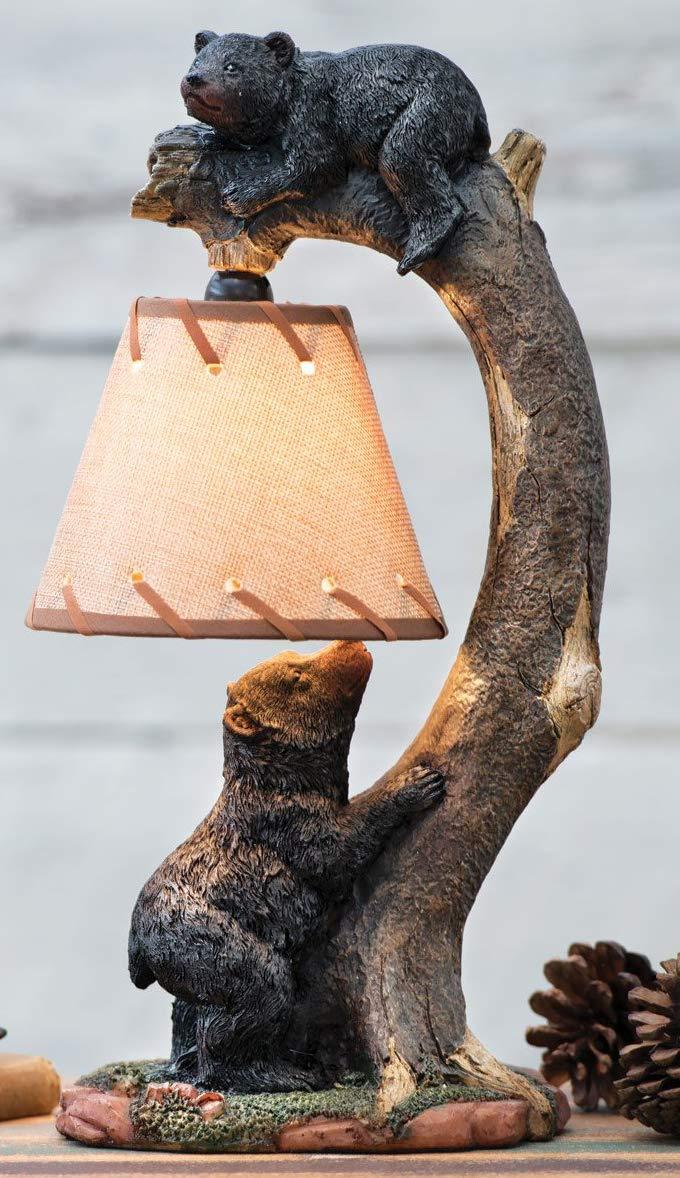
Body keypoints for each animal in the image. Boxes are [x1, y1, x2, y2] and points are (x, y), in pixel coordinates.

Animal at [128, 641, 446, 1092]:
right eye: (298, 677)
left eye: (297, 655)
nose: (351, 643)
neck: (284, 777)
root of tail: (137, 947)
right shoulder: (287, 821)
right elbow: (337, 851)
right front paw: (415, 784)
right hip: (201, 937)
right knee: (256, 994)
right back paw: (282, 1073)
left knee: (188, 1009)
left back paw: (184, 1066)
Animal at [180, 32, 490, 275]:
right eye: (198, 61)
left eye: (231, 66)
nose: (194, 79)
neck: (285, 97)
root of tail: (477, 109)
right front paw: (209, 135)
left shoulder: (313, 111)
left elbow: (315, 164)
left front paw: (240, 194)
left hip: (431, 107)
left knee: (403, 155)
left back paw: (417, 250)